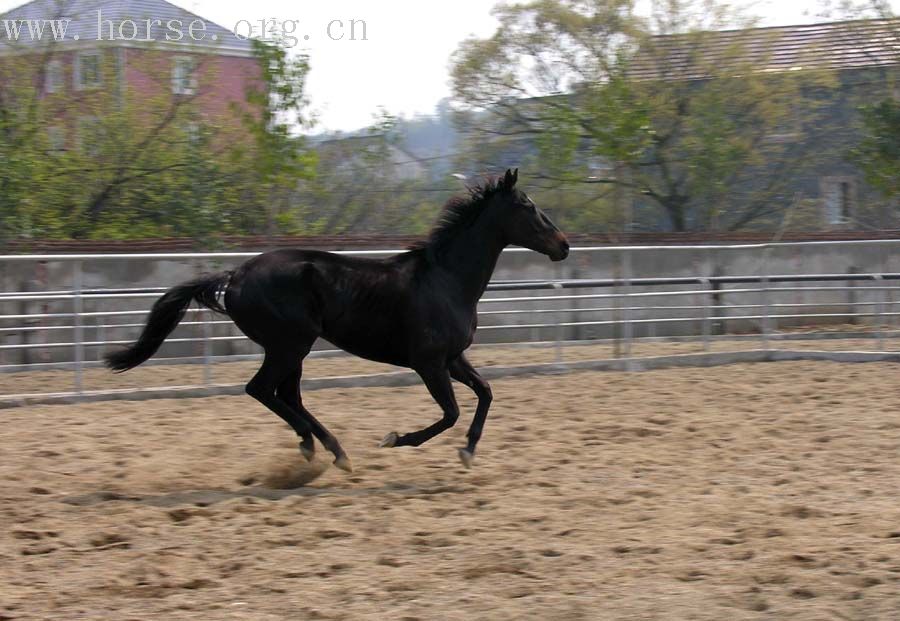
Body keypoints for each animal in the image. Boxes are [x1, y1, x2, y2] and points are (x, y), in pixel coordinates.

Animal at [105, 170, 568, 470]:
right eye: (527, 206)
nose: (562, 245)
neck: (446, 280)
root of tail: (235, 276)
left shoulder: (453, 358)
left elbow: (486, 392)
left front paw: (468, 451)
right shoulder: (429, 362)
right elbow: (450, 412)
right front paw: (395, 439)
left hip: (293, 350)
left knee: (287, 396)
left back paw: (327, 448)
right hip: (290, 344)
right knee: (263, 390)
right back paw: (325, 450)